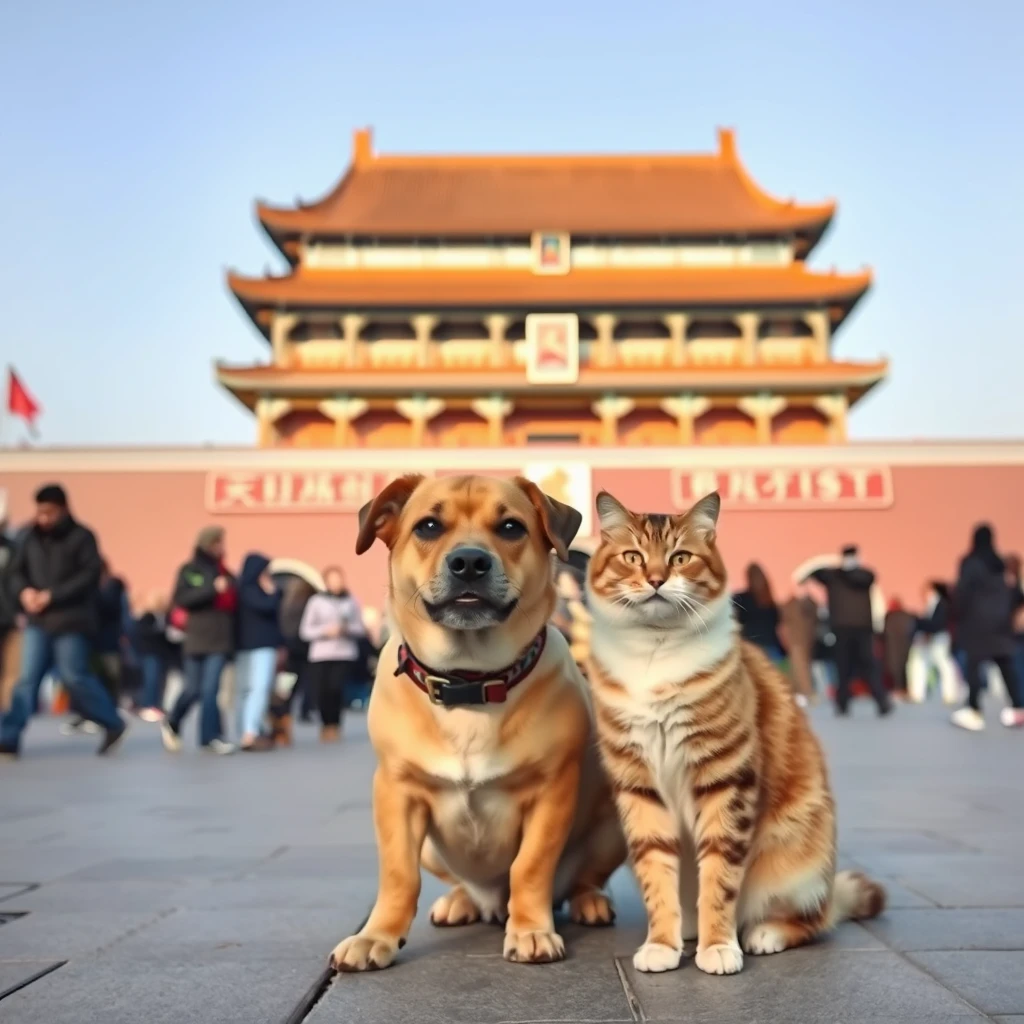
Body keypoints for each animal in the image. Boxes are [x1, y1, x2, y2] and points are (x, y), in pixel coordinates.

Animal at [331, 475, 626, 970]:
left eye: (510, 527)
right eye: (429, 526)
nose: (469, 561)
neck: (469, 682)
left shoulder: (551, 793)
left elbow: (530, 867)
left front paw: (530, 929)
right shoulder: (396, 793)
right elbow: (398, 875)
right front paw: (377, 936)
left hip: (612, 829)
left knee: (583, 878)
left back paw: (589, 902)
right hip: (433, 849)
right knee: (458, 884)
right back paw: (460, 902)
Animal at [589, 491, 884, 978]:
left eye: (680, 557)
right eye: (632, 557)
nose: (655, 579)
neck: (655, 650)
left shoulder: (726, 780)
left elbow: (719, 877)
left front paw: (719, 945)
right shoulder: (639, 785)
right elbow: (657, 876)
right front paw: (663, 943)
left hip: (794, 864)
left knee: (815, 919)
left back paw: (765, 932)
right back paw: (688, 929)